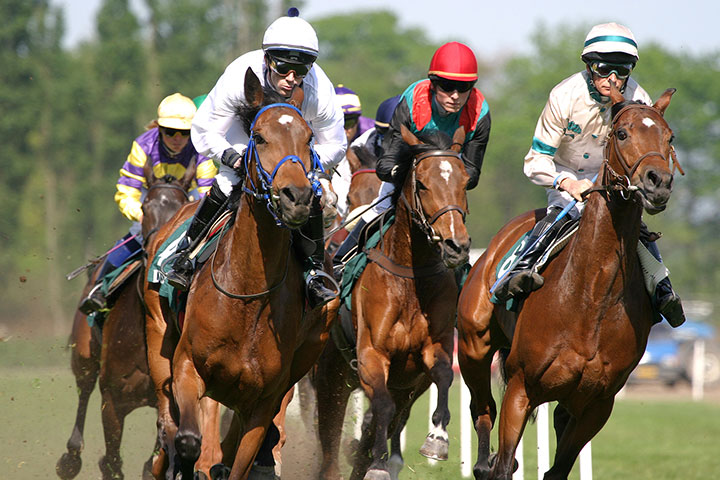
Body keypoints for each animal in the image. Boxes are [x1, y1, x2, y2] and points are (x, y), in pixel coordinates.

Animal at [56, 160, 195, 480]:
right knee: (84, 388)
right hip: (84, 353)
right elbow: (112, 462)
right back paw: (70, 458)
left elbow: (153, 462)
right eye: (145, 207)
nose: (159, 252)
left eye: (183, 207)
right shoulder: (113, 399)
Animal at [145, 67, 342, 480]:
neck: (247, 294)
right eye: (259, 136)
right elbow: (189, 441)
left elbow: (238, 460)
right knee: (168, 424)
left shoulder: (263, 401)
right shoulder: (188, 369)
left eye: (309, 138)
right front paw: (183, 461)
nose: (298, 197)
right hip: (158, 337)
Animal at [316, 125, 472, 478]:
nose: (456, 246)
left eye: (464, 181)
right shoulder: (371, 354)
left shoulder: (431, 352)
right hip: (330, 377)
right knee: (329, 443)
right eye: (423, 184)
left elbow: (444, 376)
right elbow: (382, 407)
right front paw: (378, 464)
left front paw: (437, 440)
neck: (409, 279)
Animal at [456, 86, 680, 480]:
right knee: (482, 413)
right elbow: (504, 463)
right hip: (473, 349)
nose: (658, 183)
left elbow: (557, 469)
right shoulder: (521, 387)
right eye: (622, 133)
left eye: (668, 137)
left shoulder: (596, 404)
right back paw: (480, 461)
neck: (590, 297)